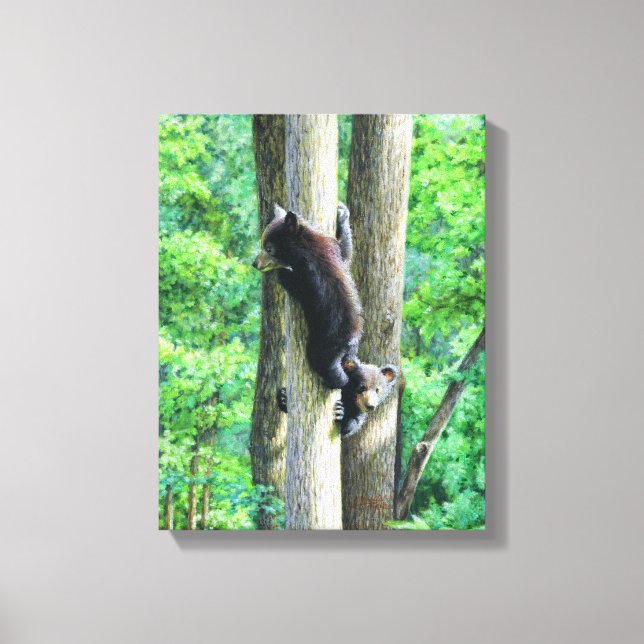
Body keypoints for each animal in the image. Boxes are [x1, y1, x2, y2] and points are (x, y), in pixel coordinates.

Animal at [252, 203, 361, 389]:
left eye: (269, 248)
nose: (255, 263)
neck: (305, 246)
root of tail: (348, 342)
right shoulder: (331, 247)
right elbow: (345, 252)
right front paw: (342, 214)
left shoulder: (308, 274)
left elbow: (296, 285)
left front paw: (283, 272)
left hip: (324, 343)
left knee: (323, 363)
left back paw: (334, 381)